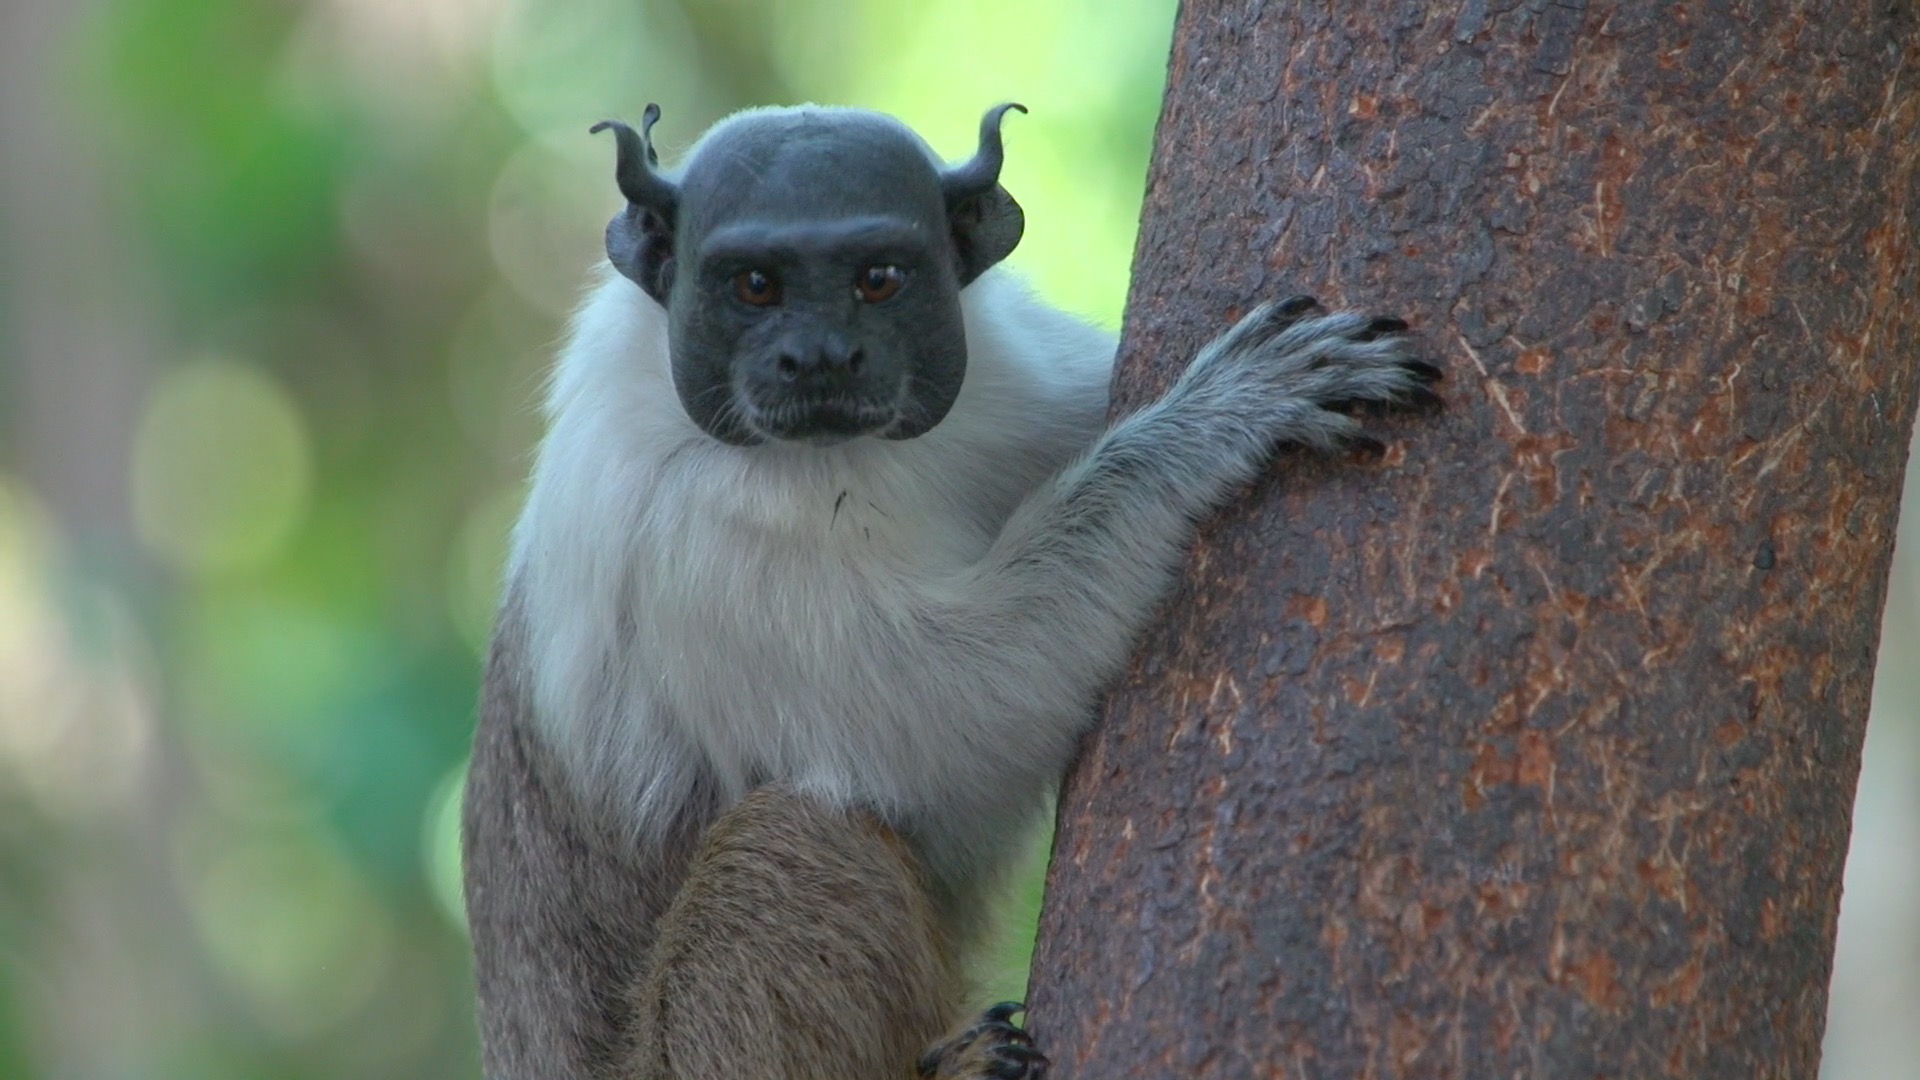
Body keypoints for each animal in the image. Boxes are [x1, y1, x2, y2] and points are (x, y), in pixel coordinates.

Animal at [456, 102, 1436, 1076]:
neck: (852, 457)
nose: (818, 357)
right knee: (795, 832)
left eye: (879, 280)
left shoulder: (1021, 378)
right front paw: (1207, 430)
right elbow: (951, 725)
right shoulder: (696, 541)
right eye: (757, 287)